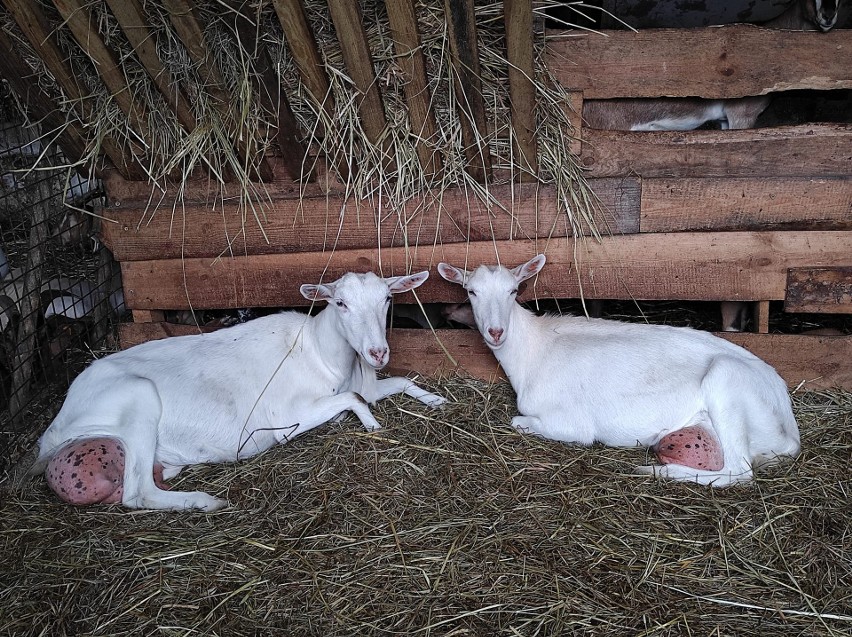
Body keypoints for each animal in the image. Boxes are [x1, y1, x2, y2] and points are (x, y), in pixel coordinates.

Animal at [31, 270, 446, 510]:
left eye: (388, 299)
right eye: (340, 303)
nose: (378, 352)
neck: (319, 351)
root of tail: (55, 425)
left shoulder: (367, 382)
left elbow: (399, 383)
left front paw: (436, 399)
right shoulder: (285, 418)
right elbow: (353, 399)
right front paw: (371, 425)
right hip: (136, 398)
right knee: (137, 494)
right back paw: (204, 502)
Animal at [436, 256, 804, 484]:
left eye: (513, 291)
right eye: (471, 291)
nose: (496, 332)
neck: (535, 349)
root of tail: (789, 432)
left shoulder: (572, 423)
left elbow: (519, 422)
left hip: (726, 381)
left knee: (740, 472)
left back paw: (654, 471)